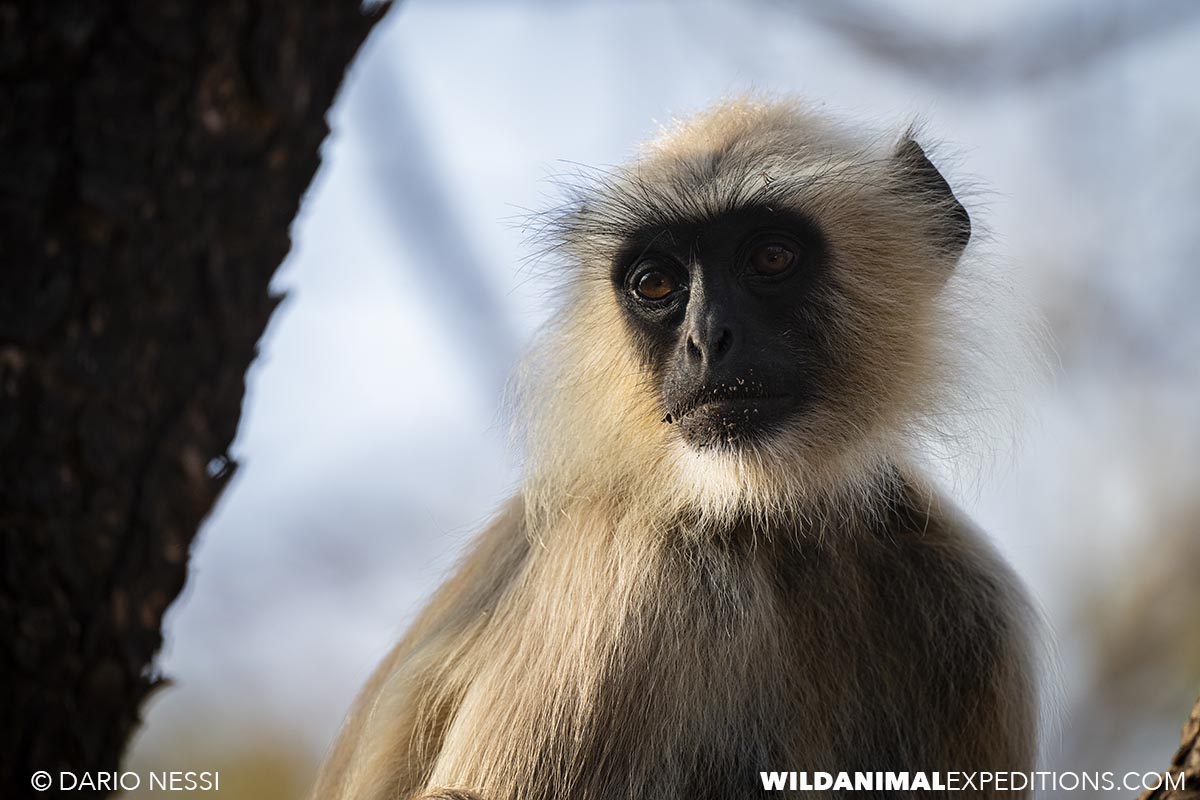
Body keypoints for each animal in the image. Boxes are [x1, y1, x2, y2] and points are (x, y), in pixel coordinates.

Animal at [310, 98, 1040, 800]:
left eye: (770, 258)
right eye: (655, 285)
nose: (706, 338)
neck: (771, 524)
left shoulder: (975, 609)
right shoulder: (626, 565)